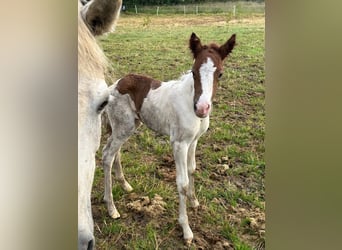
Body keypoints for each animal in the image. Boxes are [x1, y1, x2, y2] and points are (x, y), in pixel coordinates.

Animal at [101, 32, 235, 244]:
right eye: (193, 72)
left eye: (220, 74)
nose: (202, 108)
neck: (190, 102)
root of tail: (115, 85)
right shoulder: (179, 143)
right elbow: (182, 183)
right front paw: (186, 230)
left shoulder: (194, 141)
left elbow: (192, 169)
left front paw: (194, 201)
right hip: (124, 126)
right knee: (107, 155)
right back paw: (111, 208)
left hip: (127, 126)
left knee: (115, 152)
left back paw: (126, 185)